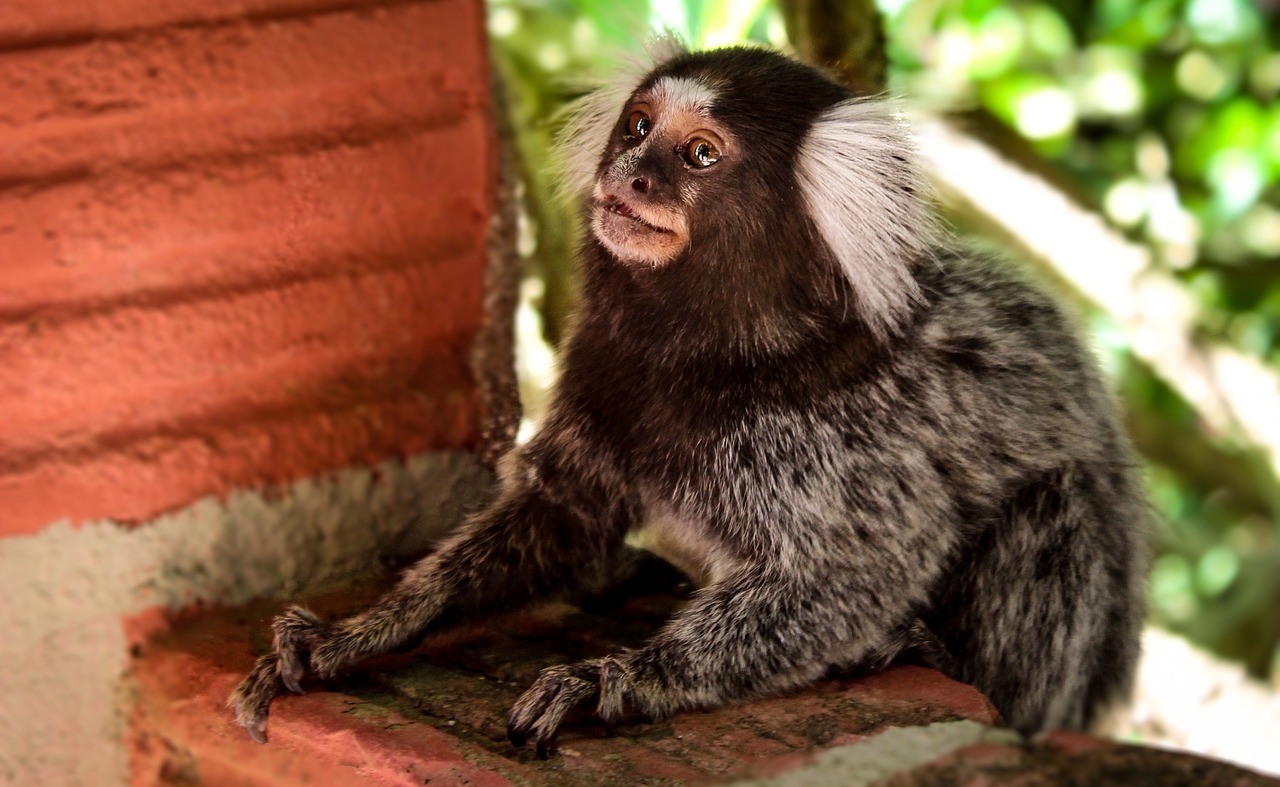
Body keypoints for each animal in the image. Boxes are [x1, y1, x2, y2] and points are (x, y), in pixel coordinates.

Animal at [230, 41, 1152, 757]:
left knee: (1055, 506)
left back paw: (930, 650)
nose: (631, 175)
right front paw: (366, 630)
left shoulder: (842, 444)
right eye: (638, 128)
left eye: (700, 154)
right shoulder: (602, 368)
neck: (704, 345)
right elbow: (562, 513)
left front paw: (615, 678)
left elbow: (850, 573)